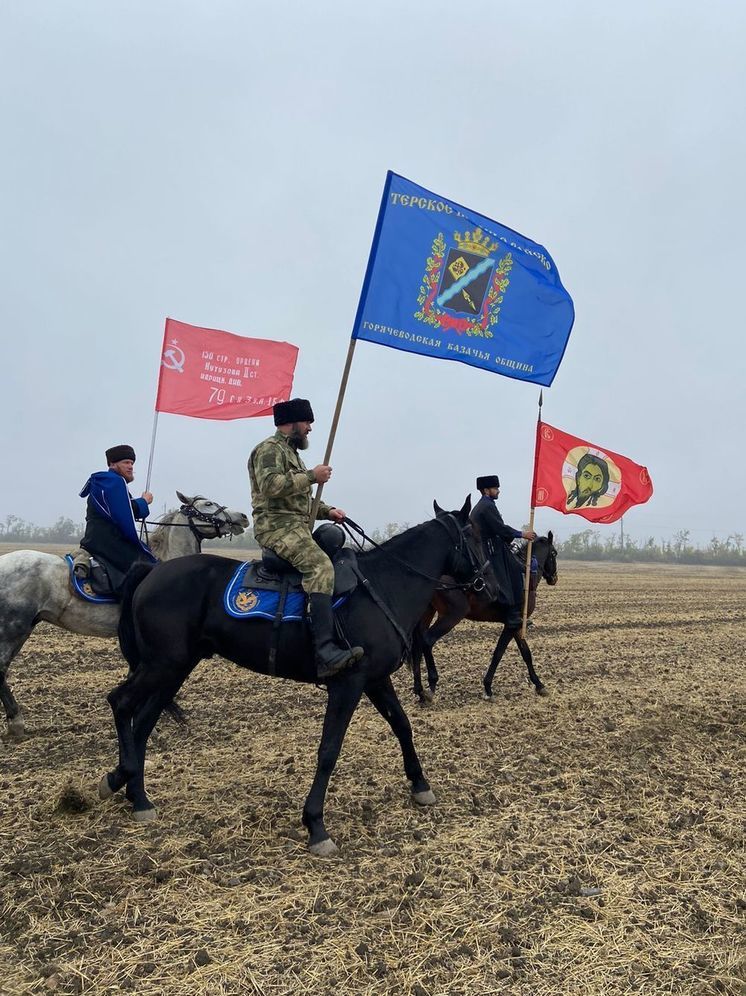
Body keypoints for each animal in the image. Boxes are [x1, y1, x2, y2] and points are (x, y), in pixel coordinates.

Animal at [100, 498, 482, 856]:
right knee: (121, 703)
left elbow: (402, 725)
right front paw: (316, 825)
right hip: (161, 665)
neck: (385, 585)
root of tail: (152, 571)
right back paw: (123, 780)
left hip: (173, 668)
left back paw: (135, 793)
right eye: (475, 534)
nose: (483, 580)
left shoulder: (374, 680)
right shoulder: (347, 684)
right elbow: (329, 749)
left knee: (143, 722)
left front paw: (420, 785)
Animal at [410, 532, 556, 704]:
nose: (554, 578)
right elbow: (499, 653)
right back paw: (431, 685)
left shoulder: (517, 625)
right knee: (427, 640)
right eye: (554, 553)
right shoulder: (512, 624)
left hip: (427, 613)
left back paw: (419, 691)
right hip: (451, 616)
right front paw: (488, 687)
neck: (526, 574)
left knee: (417, 645)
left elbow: (525, 653)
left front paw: (539, 685)